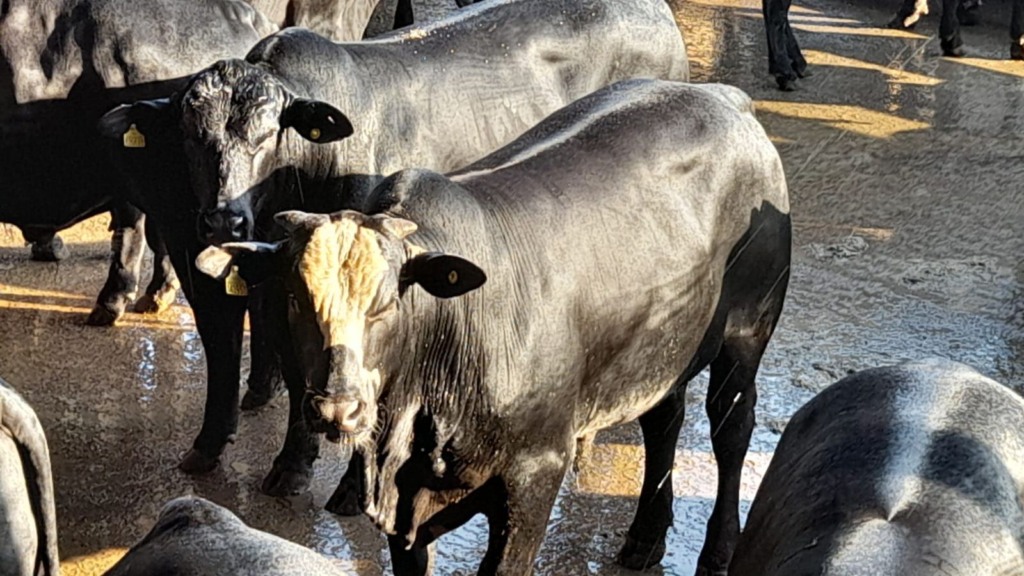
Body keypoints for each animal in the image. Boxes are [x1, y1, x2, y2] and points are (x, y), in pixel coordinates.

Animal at [195, 79, 794, 573]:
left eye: (387, 305)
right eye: (296, 298)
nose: (337, 407)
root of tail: (723, 98)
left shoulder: (536, 475)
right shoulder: (408, 509)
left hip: (747, 332)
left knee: (731, 428)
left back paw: (718, 549)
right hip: (662, 347)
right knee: (664, 419)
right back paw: (646, 537)